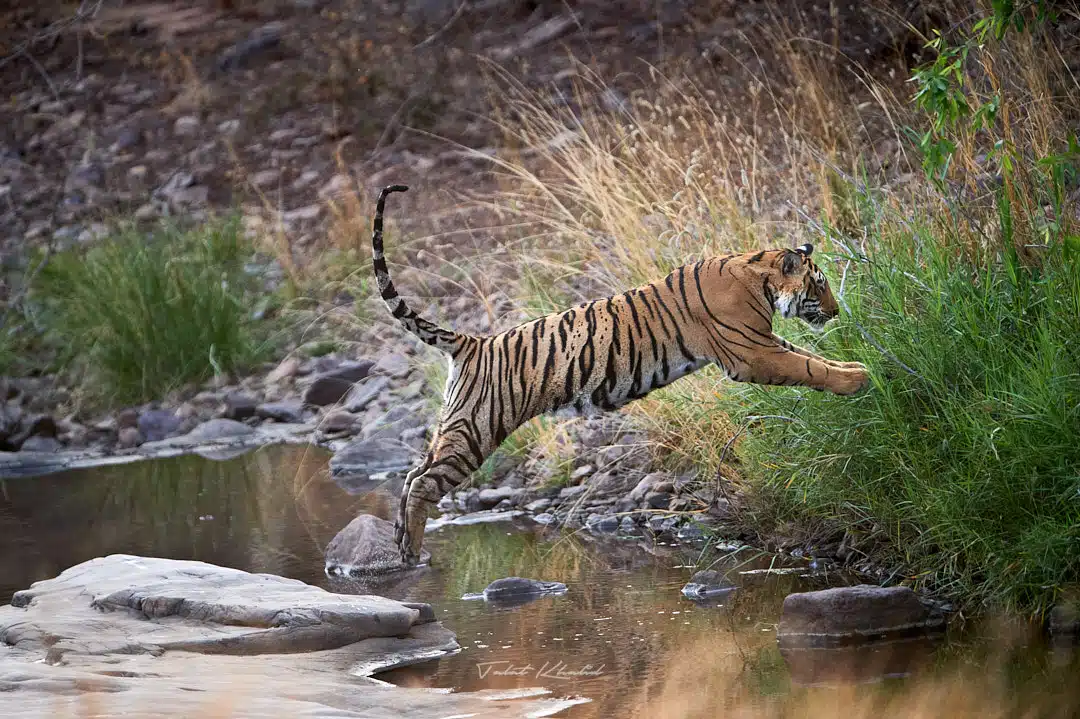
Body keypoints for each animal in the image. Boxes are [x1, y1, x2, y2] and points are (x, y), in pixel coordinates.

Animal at [371, 184, 869, 566]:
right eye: (820, 285)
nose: (836, 311)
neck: (757, 273)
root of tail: (473, 342)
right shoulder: (752, 352)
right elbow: (806, 364)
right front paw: (857, 381)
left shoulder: (762, 343)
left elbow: (808, 356)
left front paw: (854, 367)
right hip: (477, 427)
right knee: (425, 481)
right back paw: (410, 552)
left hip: (456, 421)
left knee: (412, 474)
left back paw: (399, 538)